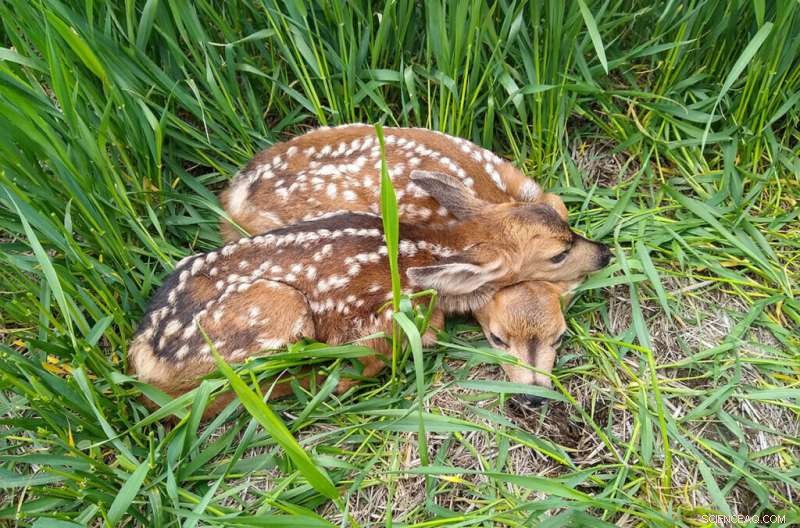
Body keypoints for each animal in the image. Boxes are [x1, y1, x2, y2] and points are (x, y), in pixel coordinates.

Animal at [130, 171, 609, 413]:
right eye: (559, 254)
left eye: (566, 225)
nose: (604, 253)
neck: (426, 248)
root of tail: (145, 359)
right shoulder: (385, 313)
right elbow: (385, 349)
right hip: (275, 310)